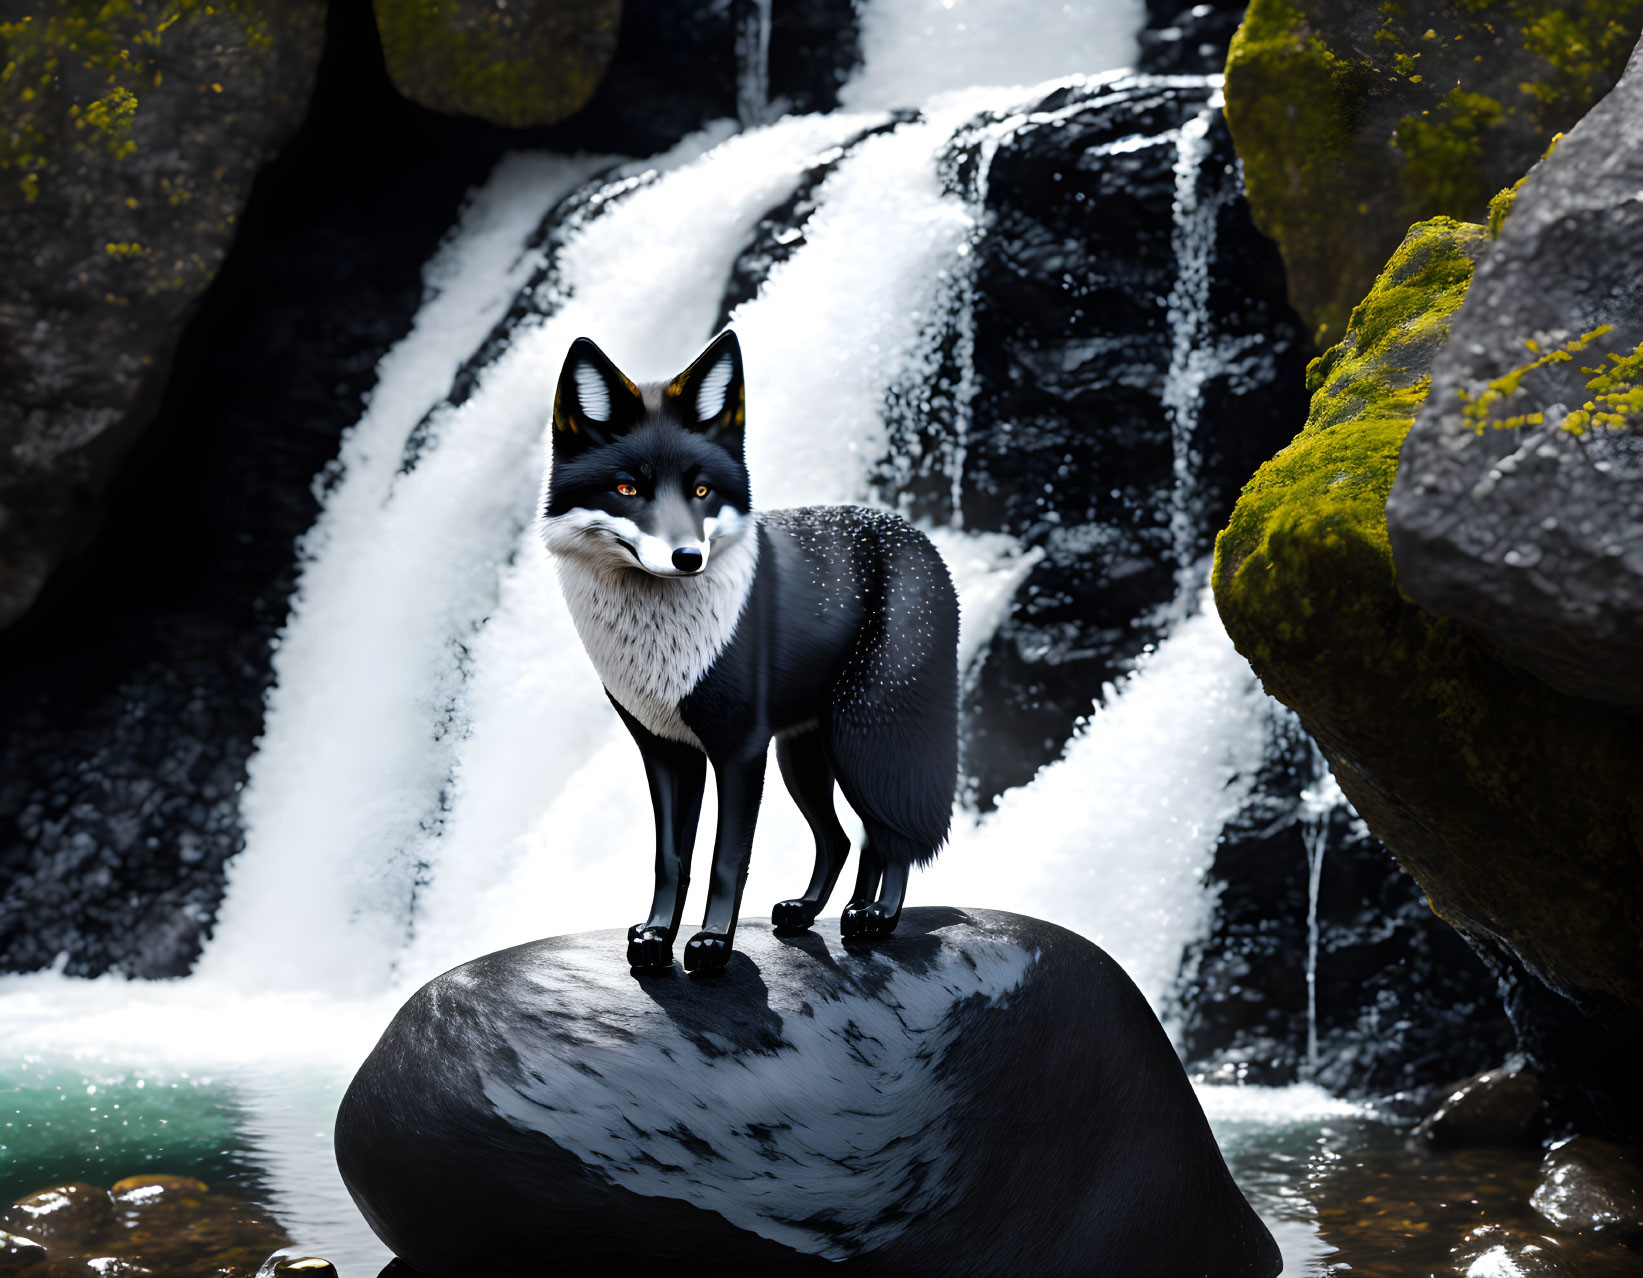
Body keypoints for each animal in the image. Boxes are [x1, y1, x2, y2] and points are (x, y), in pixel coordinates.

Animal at [535, 328, 959, 965]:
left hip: (862, 738)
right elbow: (671, 859)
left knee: (890, 834)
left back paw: (878, 917)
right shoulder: (666, 751)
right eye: (628, 488)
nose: (688, 558)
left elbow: (725, 861)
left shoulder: (739, 750)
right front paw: (657, 935)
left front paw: (712, 942)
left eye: (702, 490)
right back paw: (814, 911)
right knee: (846, 839)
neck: (661, 647)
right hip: (805, 757)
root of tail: (916, 534)